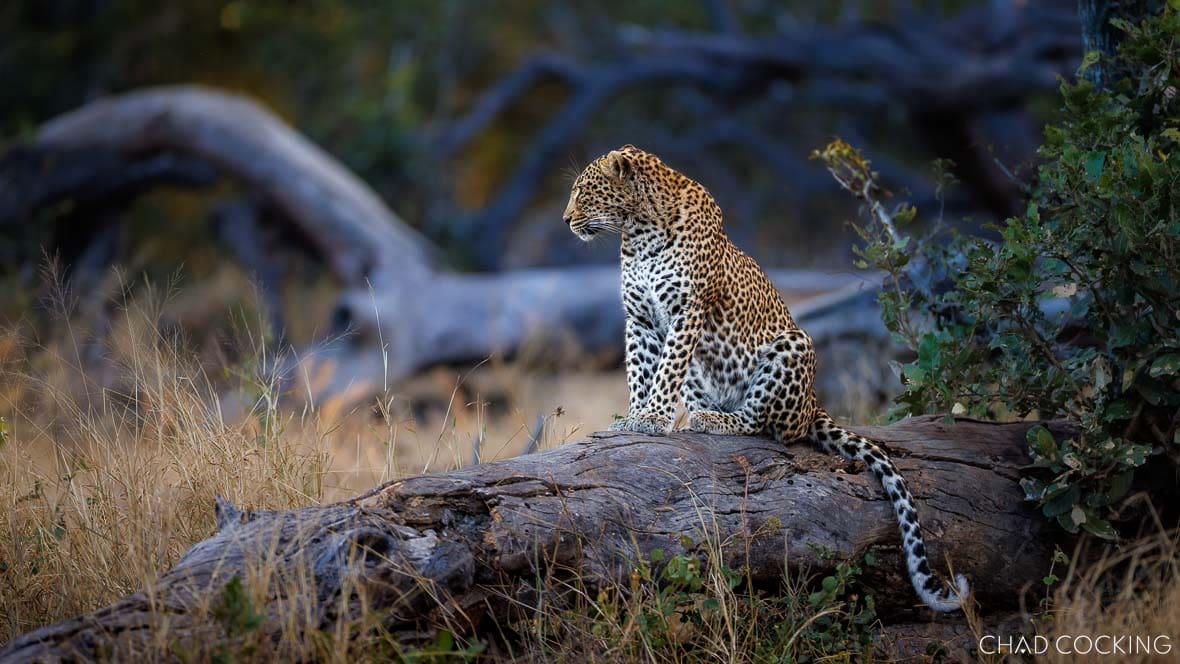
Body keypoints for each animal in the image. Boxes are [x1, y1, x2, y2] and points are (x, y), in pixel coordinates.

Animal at [562, 144, 969, 612]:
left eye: (584, 191)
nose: (566, 220)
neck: (639, 231)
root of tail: (813, 403)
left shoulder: (687, 312)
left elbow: (666, 371)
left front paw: (651, 418)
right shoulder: (640, 320)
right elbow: (639, 371)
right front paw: (633, 416)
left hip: (794, 343)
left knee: (764, 424)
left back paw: (715, 421)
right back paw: (699, 417)